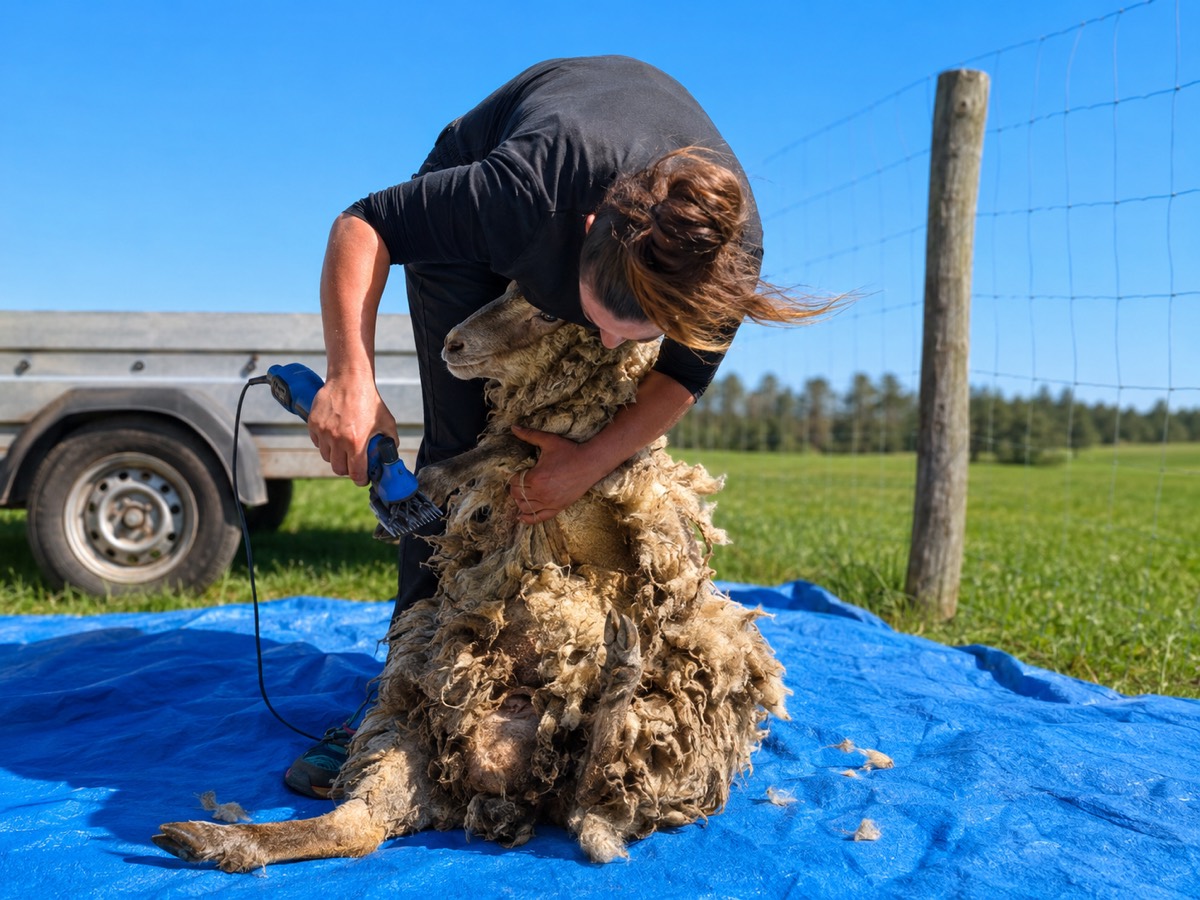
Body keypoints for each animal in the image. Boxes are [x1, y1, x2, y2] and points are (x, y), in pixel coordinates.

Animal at [153, 282, 789, 872]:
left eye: (549, 310)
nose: (451, 343)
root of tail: (516, 777)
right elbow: (497, 449)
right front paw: (425, 485)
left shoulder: (619, 506)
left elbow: (522, 452)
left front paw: (443, 477)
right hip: (413, 729)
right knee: (359, 826)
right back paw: (214, 840)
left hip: (641, 742)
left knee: (596, 793)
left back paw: (623, 665)